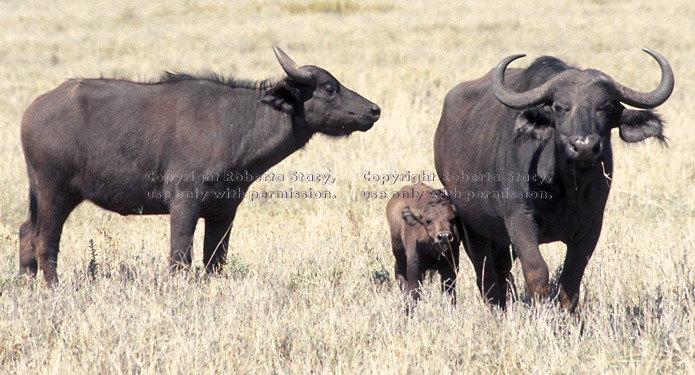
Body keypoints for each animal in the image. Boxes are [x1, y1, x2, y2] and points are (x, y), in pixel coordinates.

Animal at [19, 46, 384, 284]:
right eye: (329, 88)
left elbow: (215, 261)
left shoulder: (224, 211)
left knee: (26, 232)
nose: (374, 110)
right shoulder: (185, 204)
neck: (237, 124)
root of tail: (34, 110)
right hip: (54, 191)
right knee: (45, 240)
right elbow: (180, 258)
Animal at [436, 50, 676, 314]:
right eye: (560, 107)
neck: (567, 188)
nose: (584, 146)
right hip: (472, 226)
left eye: (606, 106)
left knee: (501, 268)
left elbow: (571, 278)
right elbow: (537, 271)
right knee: (485, 271)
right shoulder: (520, 219)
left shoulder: (592, 225)